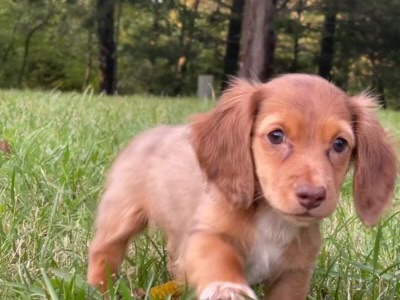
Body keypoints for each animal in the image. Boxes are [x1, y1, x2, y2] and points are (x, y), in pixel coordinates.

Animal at [87, 74, 396, 298]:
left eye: (340, 143)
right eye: (276, 136)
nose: (312, 196)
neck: (272, 219)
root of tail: (149, 134)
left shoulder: (293, 274)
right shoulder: (207, 237)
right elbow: (219, 263)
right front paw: (228, 290)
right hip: (120, 215)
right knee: (103, 251)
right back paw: (99, 288)